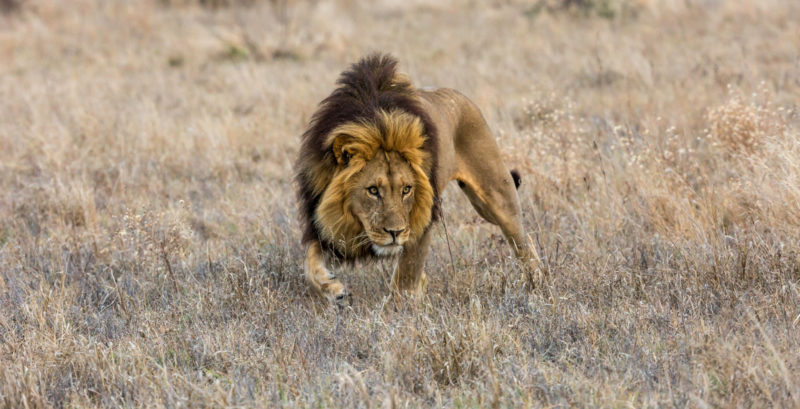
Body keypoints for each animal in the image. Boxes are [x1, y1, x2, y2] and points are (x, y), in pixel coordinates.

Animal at [296, 53, 544, 302]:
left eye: (407, 189)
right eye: (373, 190)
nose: (394, 233)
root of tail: (457, 95)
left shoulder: (421, 220)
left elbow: (405, 276)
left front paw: (398, 307)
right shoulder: (322, 222)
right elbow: (309, 264)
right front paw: (332, 288)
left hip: (496, 197)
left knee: (523, 241)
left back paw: (537, 285)